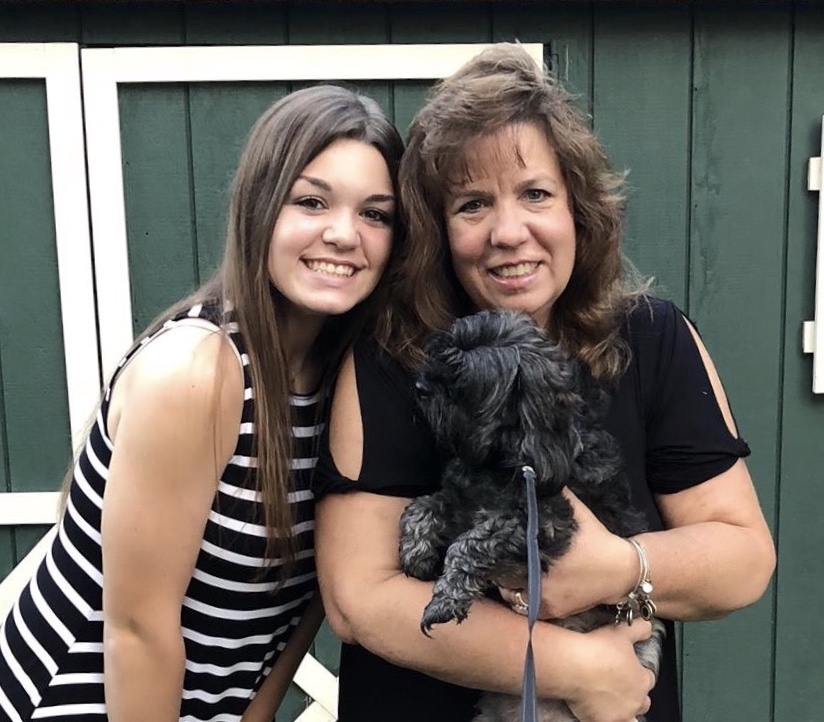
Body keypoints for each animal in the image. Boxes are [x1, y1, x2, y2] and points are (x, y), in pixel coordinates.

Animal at [398, 310, 664, 720]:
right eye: (440, 353)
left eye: (464, 379)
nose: (420, 385)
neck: (510, 455)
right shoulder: (461, 501)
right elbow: (423, 505)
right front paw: (417, 551)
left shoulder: (543, 523)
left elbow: (469, 545)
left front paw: (445, 598)